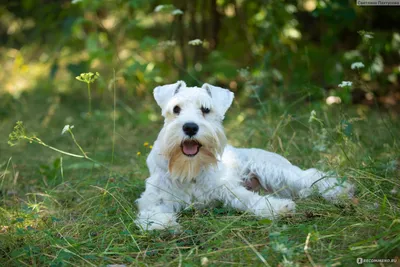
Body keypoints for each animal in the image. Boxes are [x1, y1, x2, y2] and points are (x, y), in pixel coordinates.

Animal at [136, 80, 354, 231]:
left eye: (206, 109)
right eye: (176, 109)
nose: (190, 127)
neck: (191, 169)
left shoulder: (228, 188)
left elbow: (252, 200)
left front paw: (279, 208)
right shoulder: (153, 198)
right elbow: (149, 213)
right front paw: (162, 222)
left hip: (277, 172)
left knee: (312, 176)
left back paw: (340, 190)